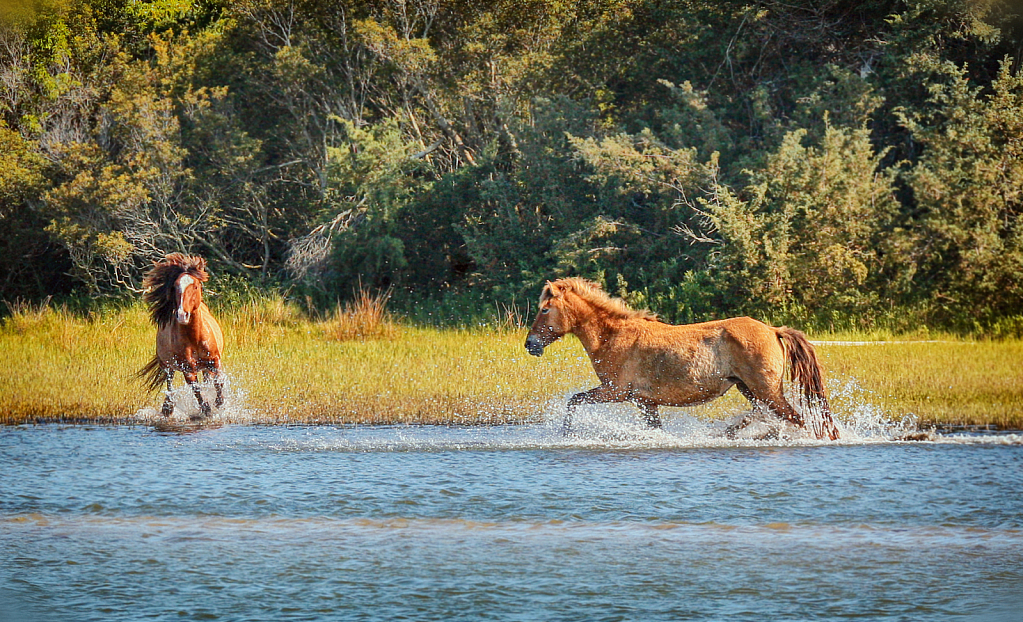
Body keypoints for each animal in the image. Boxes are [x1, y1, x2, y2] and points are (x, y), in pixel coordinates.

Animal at [138, 253, 224, 423]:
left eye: (195, 286)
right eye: (175, 287)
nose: (182, 315)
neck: (195, 338)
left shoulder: (214, 361)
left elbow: (218, 383)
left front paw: (218, 402)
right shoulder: (188, 370)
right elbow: (196, 390)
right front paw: (207, 409)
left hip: (204, 367)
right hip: (167, 365)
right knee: (169, 382)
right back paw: (167, 408)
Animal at [527, 276, 838, 437]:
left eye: (545, 309)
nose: (531, 344)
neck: (612, 335)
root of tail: (773, 330)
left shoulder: (614, 391)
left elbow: (574, 401)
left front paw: (566, 434)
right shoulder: (645, 402)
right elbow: (655, 429)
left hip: (767, 391)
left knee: (795, 420)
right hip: (749, 389)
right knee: (765, 415)